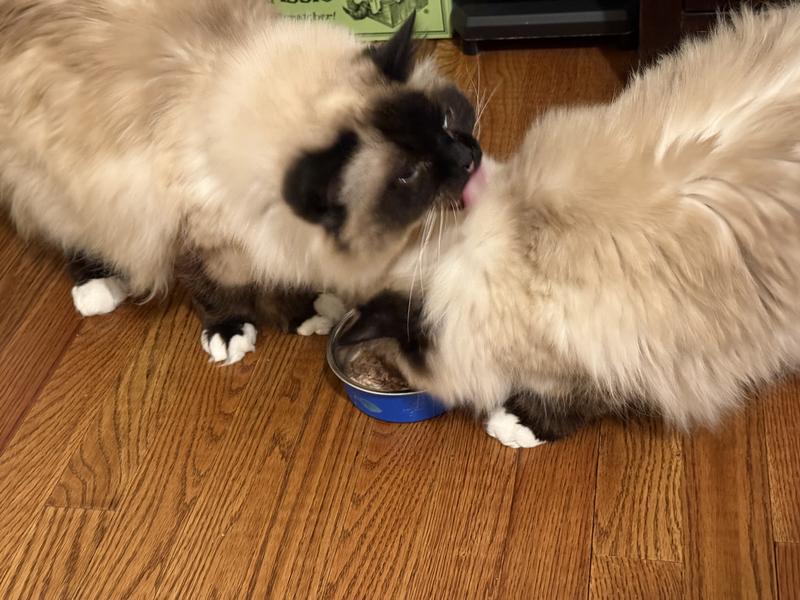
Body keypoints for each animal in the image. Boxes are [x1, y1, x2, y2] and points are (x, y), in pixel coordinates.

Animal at [0, 1, 481, 364]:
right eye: (409, 174)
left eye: (445, 121)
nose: (468, 159)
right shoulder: (200, 233)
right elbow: (218, 289)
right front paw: (232, 331)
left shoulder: (272, 231)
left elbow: (285, 277)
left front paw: (306, 312)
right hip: (65, 180)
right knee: (76, 231)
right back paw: (98, 286)